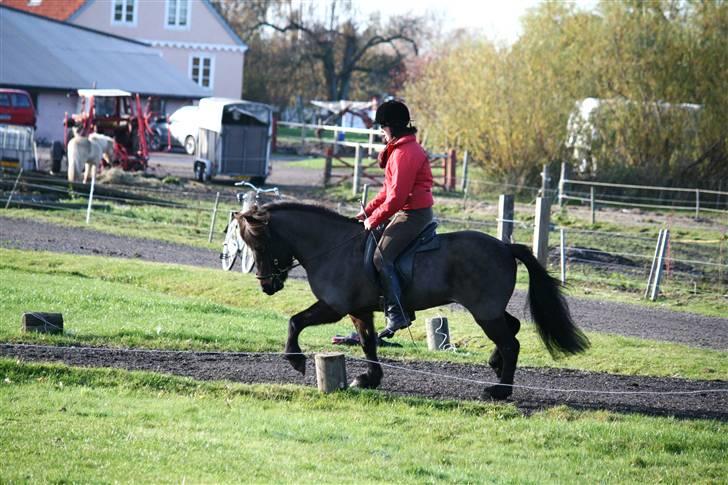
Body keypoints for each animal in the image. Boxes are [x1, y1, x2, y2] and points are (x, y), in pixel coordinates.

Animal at [239, 200, 592, 398]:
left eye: (261, 244)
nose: (266, 286)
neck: (333, 247)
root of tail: (505, 246)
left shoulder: (334, 307)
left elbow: (295, 321)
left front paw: (295, 359)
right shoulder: (358, 311)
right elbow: (368, 344)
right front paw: (369, 379)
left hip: (484, 311)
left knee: (511, 343)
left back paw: (500, 391)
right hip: (489, 310)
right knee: (513, 328)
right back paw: (495, 367)